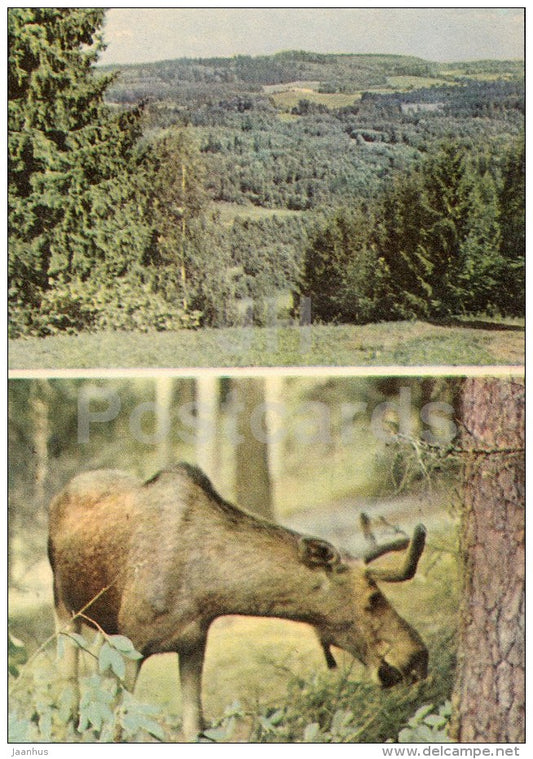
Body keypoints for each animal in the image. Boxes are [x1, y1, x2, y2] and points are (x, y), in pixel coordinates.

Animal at [48, 463, 428, 741]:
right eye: (372, 597)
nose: (418, 657)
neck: (207, 589)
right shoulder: (132, 647)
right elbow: (118, 727)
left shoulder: (193, 644)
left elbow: (194, 728)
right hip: (64, 609)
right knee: (69, 691)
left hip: (103, 629)